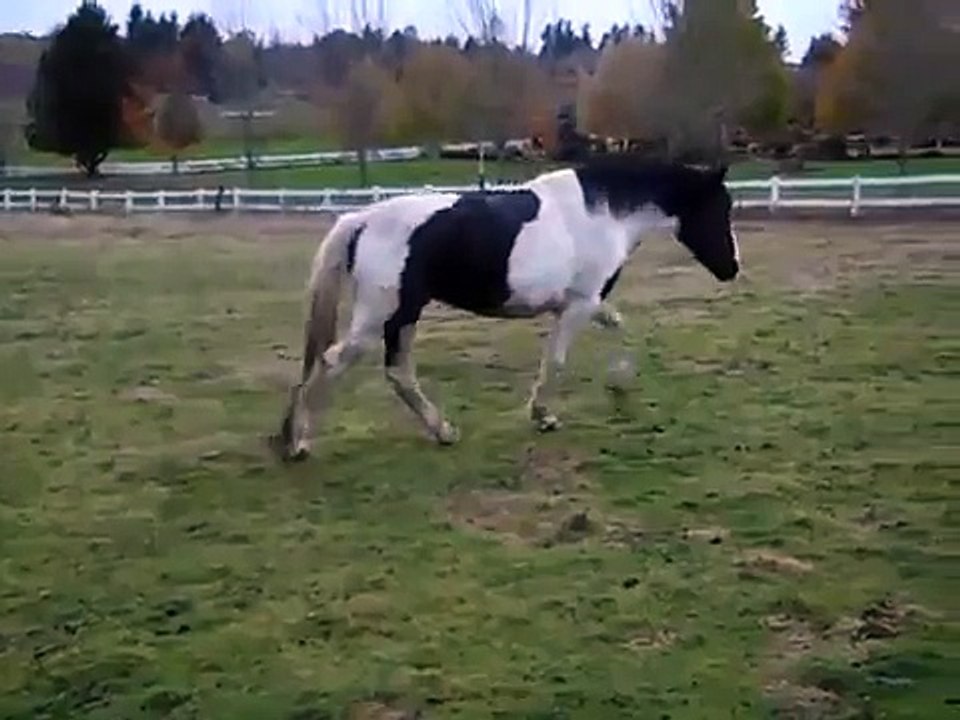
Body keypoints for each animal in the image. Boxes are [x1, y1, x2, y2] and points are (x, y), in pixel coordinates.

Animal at [272, 155, 740, 462]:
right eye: (719, 208)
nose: (732, 268)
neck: (602, 213)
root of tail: (362, 219)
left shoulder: (586, 302)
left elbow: (619, 326)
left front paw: (619, 383)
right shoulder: (578, 305)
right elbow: (557, 361)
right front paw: (544, 416)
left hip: (403, 316)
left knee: (398, 373)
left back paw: (443, 432)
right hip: (380, 317)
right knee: (331, 362)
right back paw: (297, 443)